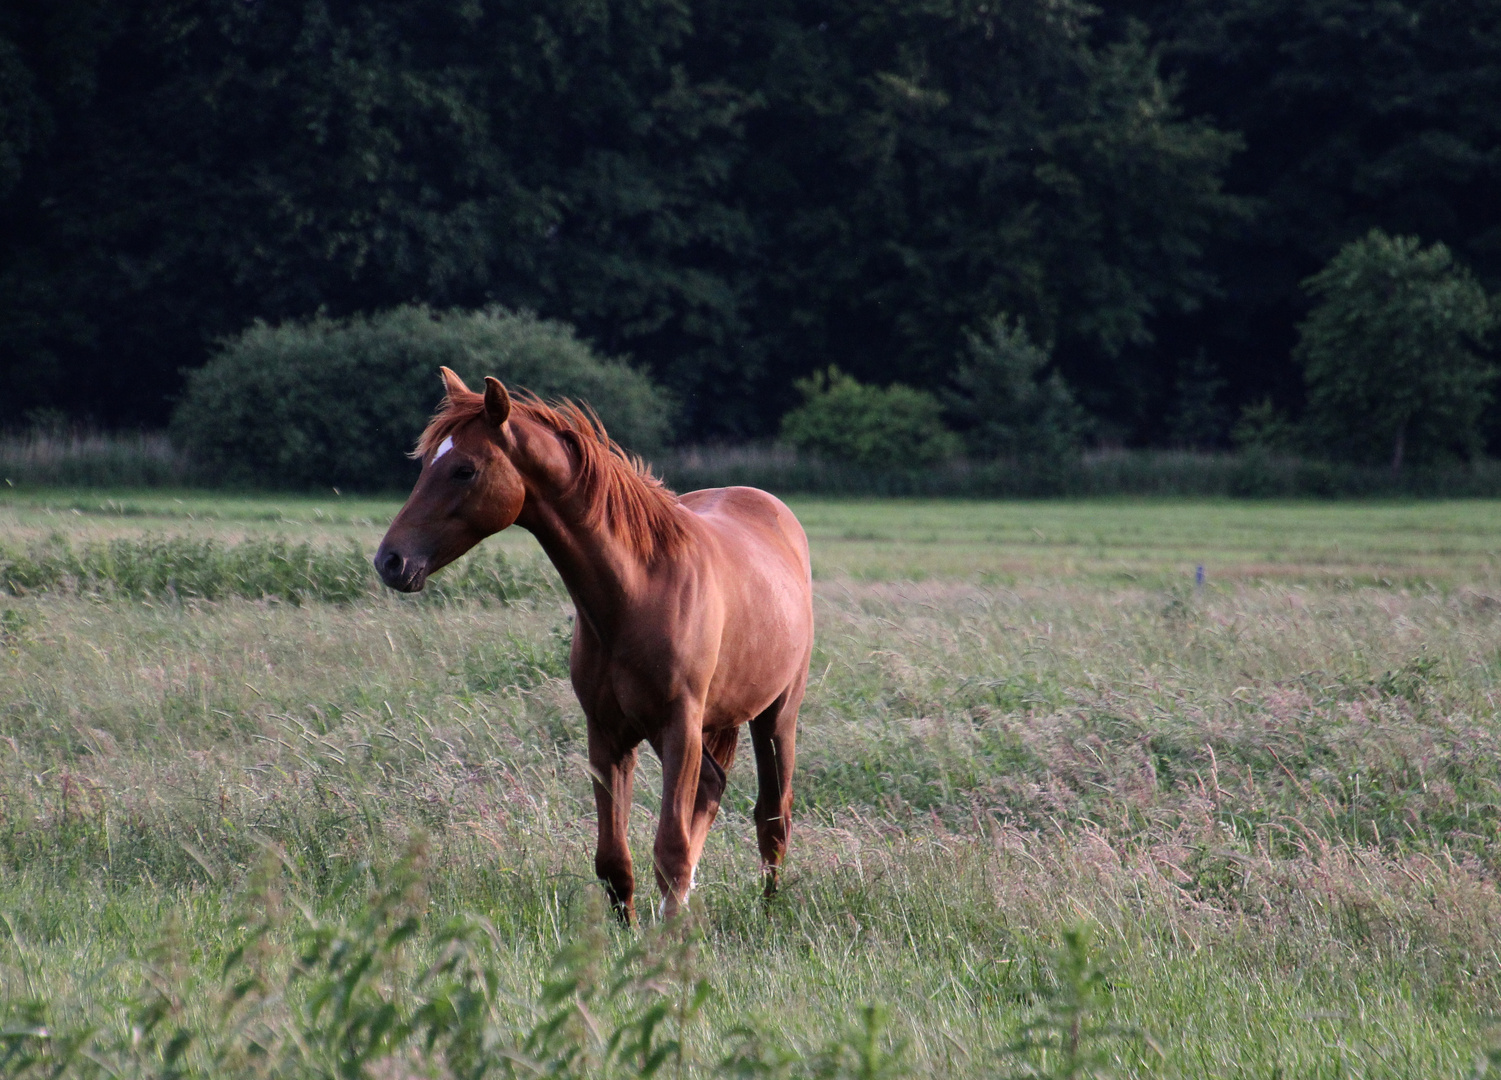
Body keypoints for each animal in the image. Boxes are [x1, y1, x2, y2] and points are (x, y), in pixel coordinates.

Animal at [381, 372, 816, 918]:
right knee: (713, 790)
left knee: (773, 815)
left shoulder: (680, 726)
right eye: (425, 463)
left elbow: (669, 850)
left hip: (776, 715)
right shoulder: (607, 732)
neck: (640, 590)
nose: (390, 561)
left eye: (465, 469)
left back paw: (767, 909)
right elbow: (614, 861)